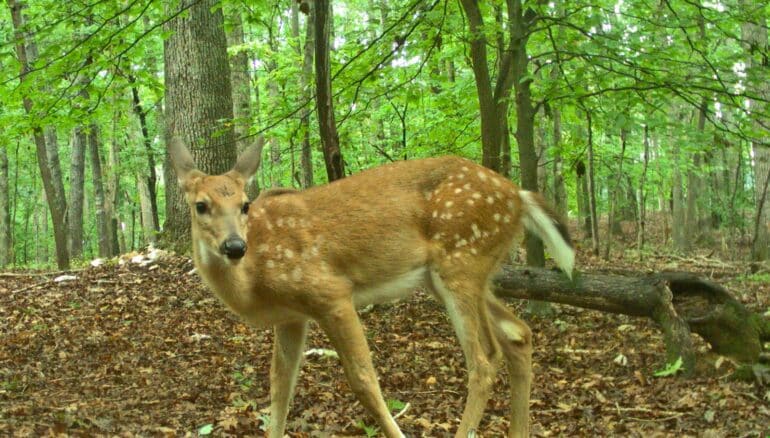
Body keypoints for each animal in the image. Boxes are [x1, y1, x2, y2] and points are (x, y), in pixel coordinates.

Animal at [170, 137, 576, 438]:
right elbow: (279, 389)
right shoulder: (291, 318)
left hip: (461, 260)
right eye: (201, 205)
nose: (235, 246)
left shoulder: (329, 292)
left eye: (244, 204)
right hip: (458, 275)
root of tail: (519, 196)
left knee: (484, 360)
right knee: (518, 334)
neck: (255, 281)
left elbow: (364, 380)